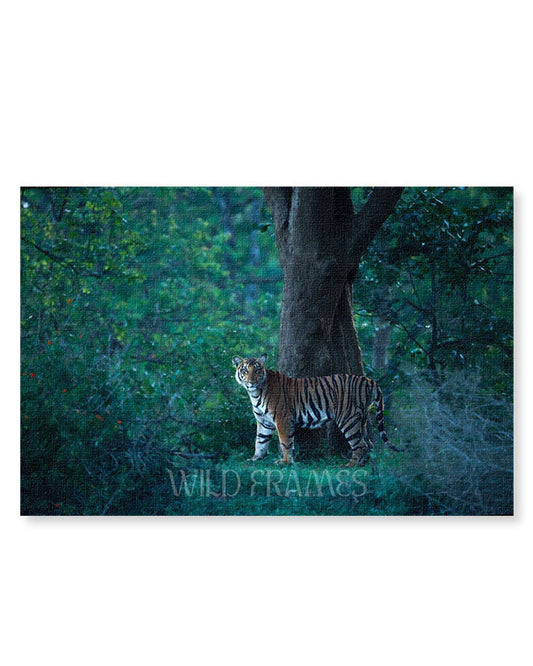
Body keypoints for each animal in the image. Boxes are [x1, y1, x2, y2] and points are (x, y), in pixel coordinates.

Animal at [232, 354, 399, 466]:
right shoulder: (264, 422)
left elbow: (285, 442)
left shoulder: (282, 418)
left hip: (348, 418)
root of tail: (368, 380)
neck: (255, 393)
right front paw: (255, 459)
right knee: (368, 443)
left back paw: (350, 466)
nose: (251, 382)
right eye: (245, 371)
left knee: (360, 445)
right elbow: (260, 441)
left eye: (257, 370)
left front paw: (286, 462)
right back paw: (363, 465)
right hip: (362, 418)